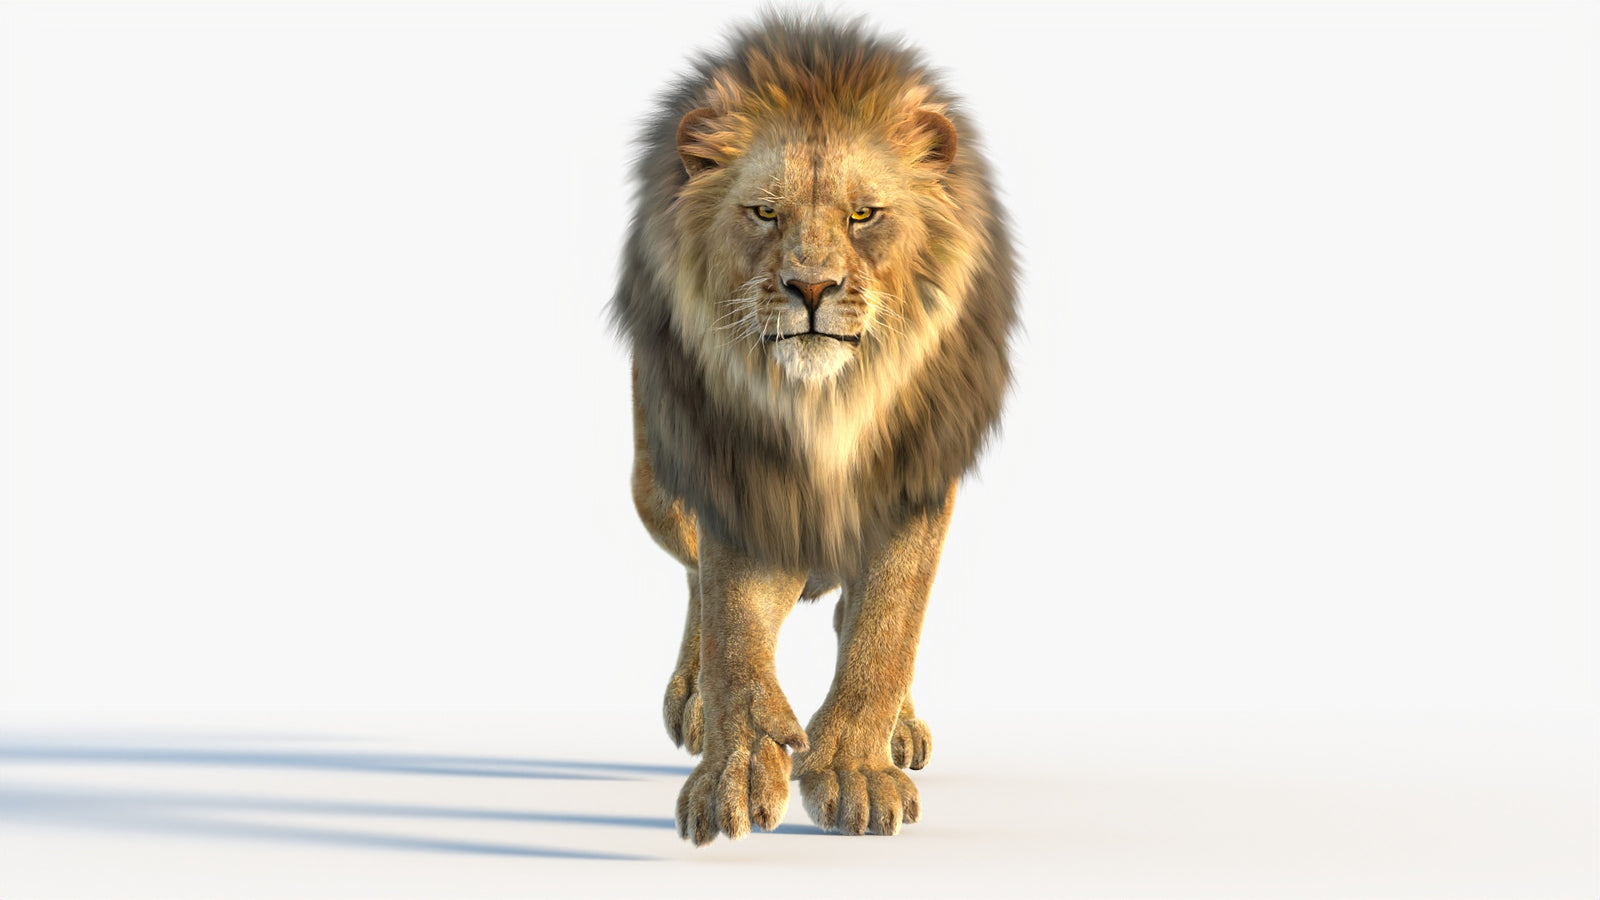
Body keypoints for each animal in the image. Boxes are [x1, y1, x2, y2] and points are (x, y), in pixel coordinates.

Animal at [610, 15, 1017, 845]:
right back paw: (695, 699)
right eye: (765, 213)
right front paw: (737, 766)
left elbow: (888, 623)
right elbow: (735, 626)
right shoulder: (732, 467)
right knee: (698, 575)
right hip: (654, 487)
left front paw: (855, 770)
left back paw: (900, 726)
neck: (828, 404)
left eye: (864, 215)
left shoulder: (919, 476)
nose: (811, 288)